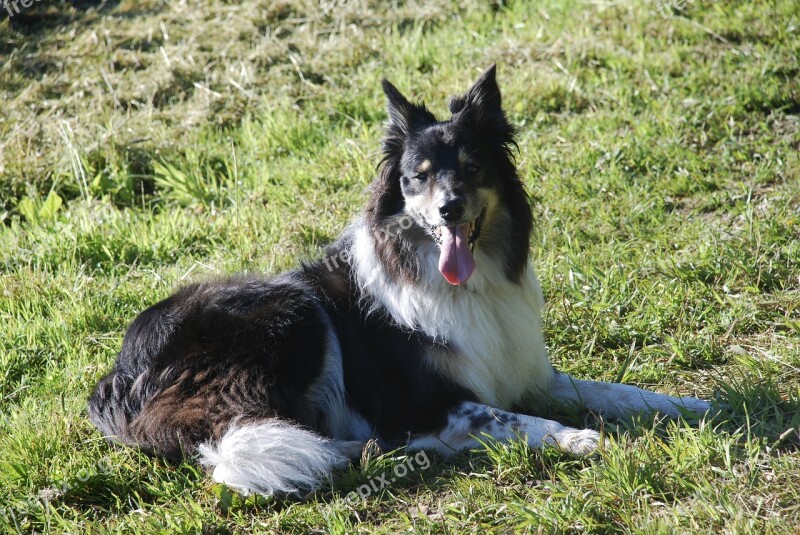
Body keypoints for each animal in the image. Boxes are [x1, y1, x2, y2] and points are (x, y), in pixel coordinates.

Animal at [89, 67, 712, 498]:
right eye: (419, 177)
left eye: (473, 168)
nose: (450, 210)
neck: (466, 285)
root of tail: (119, 377)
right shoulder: (425, 404)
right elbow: (505, 416)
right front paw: (574, 438)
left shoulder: (530, 372)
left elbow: (616, 392)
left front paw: (691, 405)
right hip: (289, 312)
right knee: (236, 434)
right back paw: (351, 451)